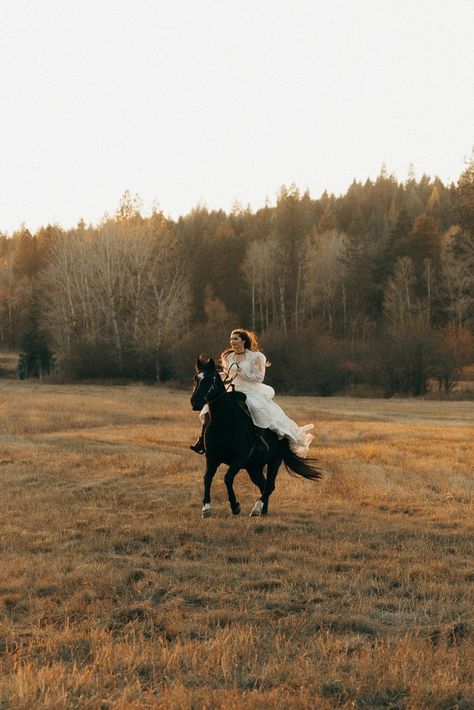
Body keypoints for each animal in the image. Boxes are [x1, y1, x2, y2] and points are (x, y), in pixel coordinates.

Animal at [190, 356, 322, 516]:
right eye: (196, 378)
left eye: (210, 379)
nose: (195, 402)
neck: (225, 422)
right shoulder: (212, 457)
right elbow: (207, 478)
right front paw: (206, 508)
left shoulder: (239, 458)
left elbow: (228, 478)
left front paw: (235, 506)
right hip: (254, 467)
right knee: (263, 484)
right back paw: (263, 510)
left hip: (274, 461)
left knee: (269, 485)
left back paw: (257, 508)